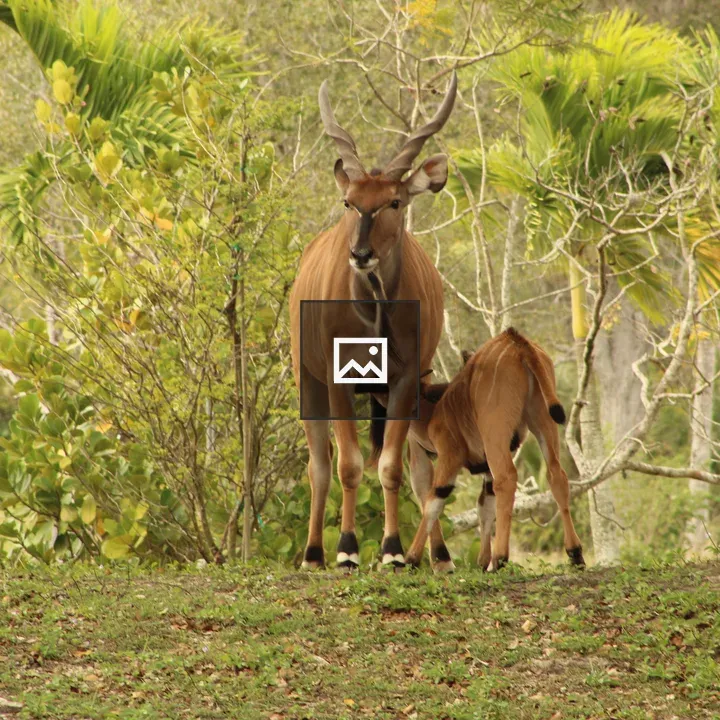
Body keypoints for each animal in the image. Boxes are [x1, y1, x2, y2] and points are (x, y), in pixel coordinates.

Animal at [289, 73, 458, 572]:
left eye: (394, 201)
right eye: (350, 202)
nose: (360, 254)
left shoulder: (404, 381)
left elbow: (391, 467)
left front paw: (393, 551)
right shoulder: (336, 379)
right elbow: (347, 465)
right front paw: (346, 549)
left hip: (409, 388)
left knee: (421, 467)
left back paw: (438, 556)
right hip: (307, 380)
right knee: (320, 465)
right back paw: (313, 553)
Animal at [402, 327, 586, 571]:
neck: (435, 407)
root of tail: (517, 342)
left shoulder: (450, 455)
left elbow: (435, 500)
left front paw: (410, 559)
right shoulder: (486, 468)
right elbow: (484, 507)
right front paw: (482, 562)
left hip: (495, 434)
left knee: (507, 479)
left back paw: (500, 558)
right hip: (543, 423)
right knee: (557, 475)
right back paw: (575, 554)